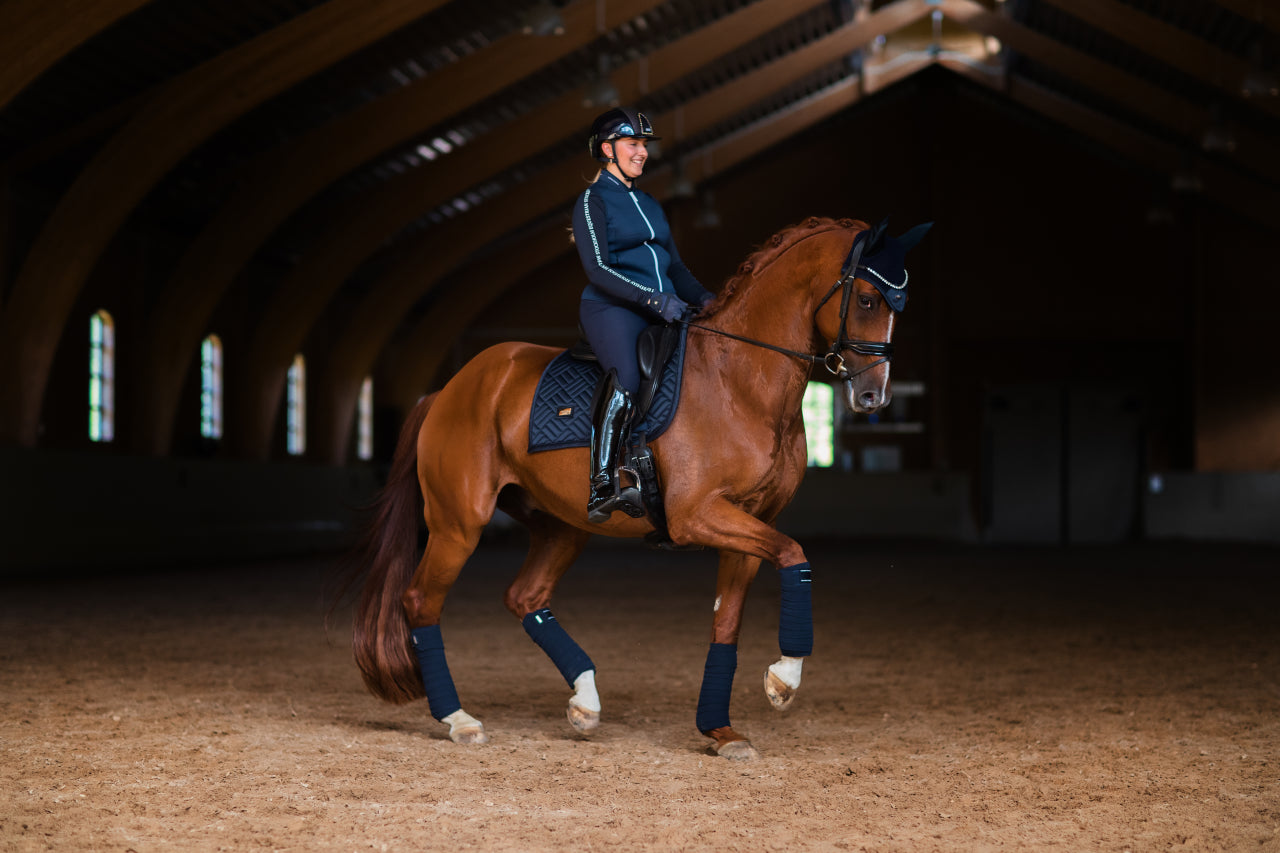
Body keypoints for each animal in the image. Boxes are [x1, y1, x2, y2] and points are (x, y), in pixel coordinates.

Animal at [348, 213, 931, 758]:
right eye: (867, 298)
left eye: (898, 304)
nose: (874, 396)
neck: (739, 381)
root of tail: (448, 389)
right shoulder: (698, 516)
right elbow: (794, 555)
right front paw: (783, 680)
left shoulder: (750, 521)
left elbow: (728, 621)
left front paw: (720, 731)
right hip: (459, 524)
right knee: (421, 601)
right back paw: (460, 719)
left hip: (562, 525)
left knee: (525, 596)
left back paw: (585, 702)